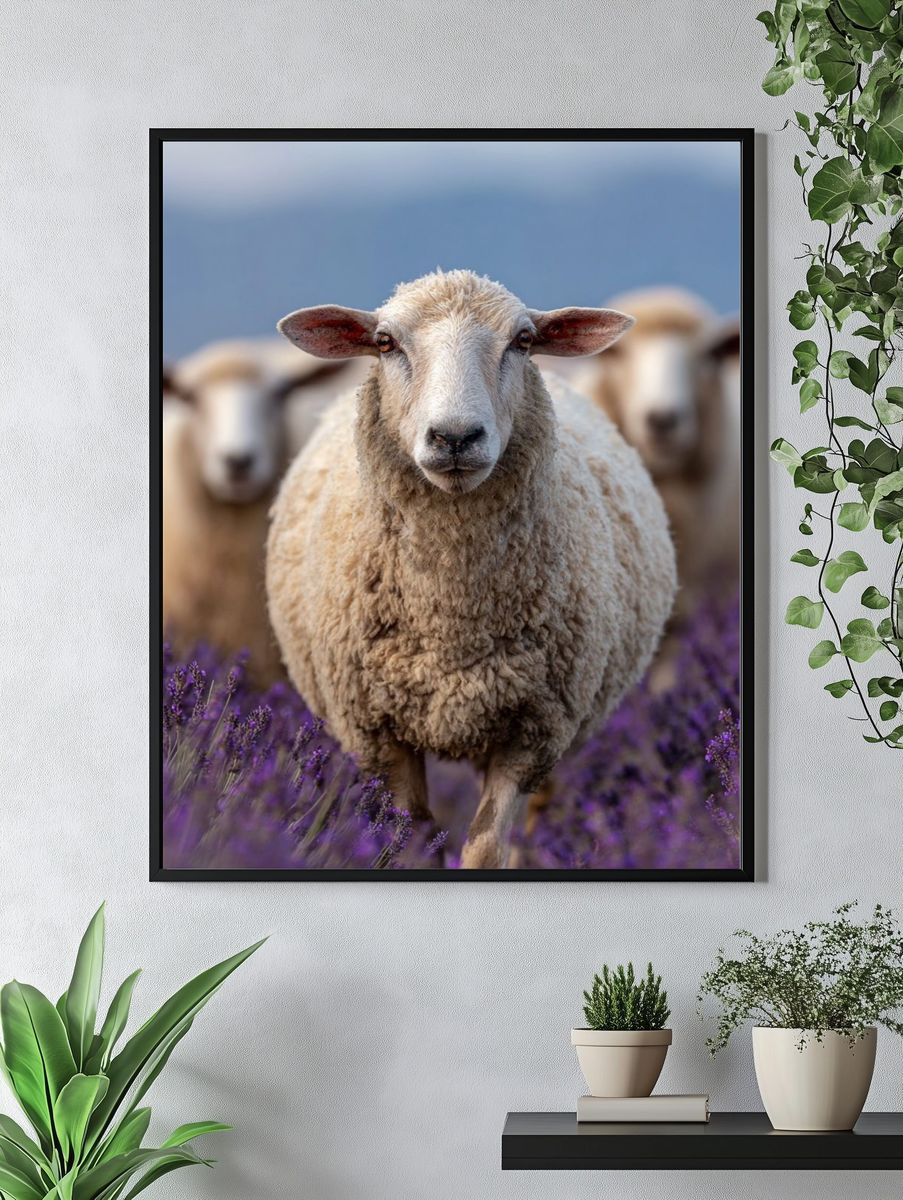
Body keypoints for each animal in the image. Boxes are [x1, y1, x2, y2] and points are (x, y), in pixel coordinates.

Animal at [266, 270, 676, 868]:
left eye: (524, 341)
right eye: (385, 342)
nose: (455, 437)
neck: (452, 616)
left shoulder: (532, 733)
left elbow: (485, 850)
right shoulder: (379, 734)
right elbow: (413, 842)